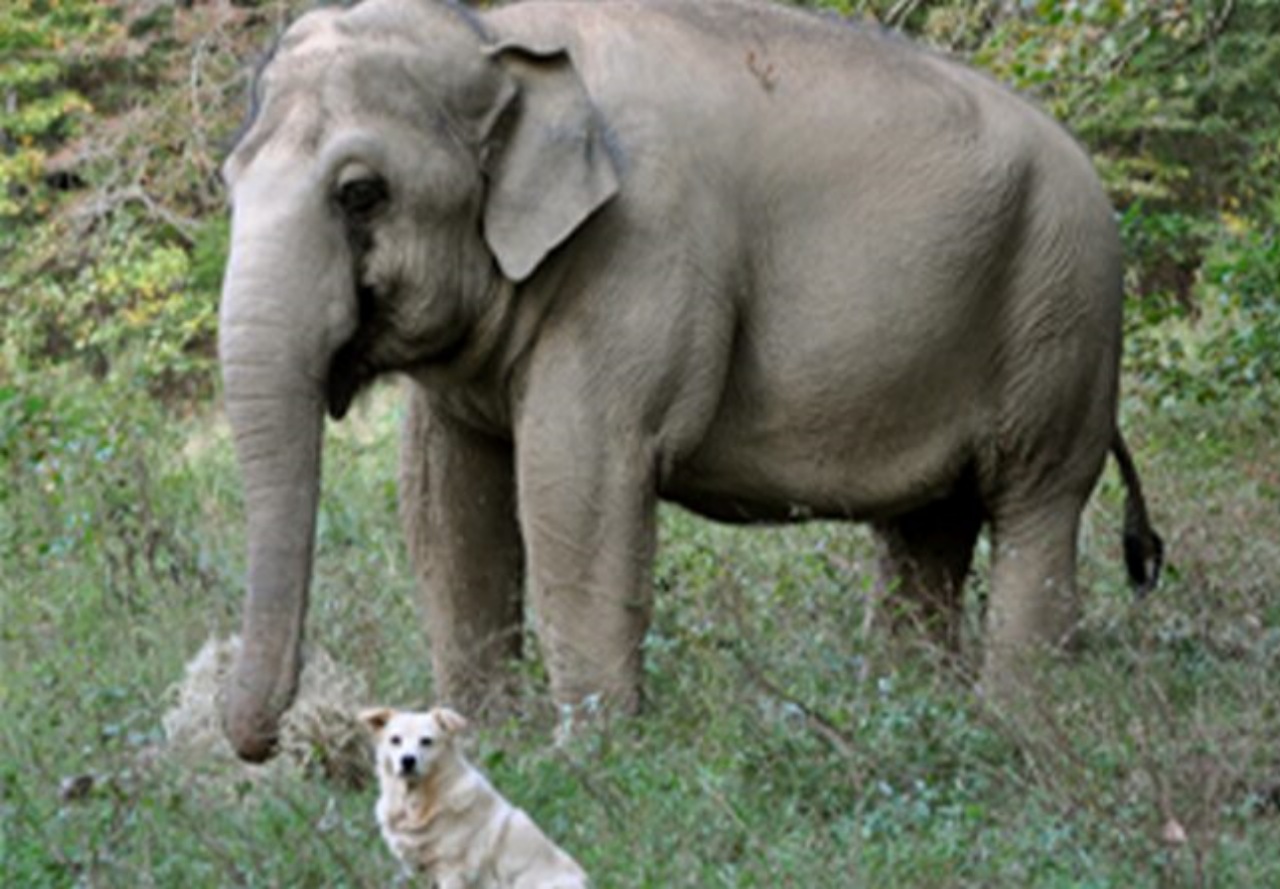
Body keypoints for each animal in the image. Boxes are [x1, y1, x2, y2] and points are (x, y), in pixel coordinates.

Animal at [217, 0, 1162, 767]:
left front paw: (589, 757)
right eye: (229, 181)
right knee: (927, 529)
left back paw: (1019, 721)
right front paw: (480, 742)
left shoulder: (638, 250)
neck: (494, 34)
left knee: (1036, 502)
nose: (265, 743)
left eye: (361, 194)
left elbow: (577, 481)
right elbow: (447, 498)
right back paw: (916, 709)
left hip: (1063, 310)